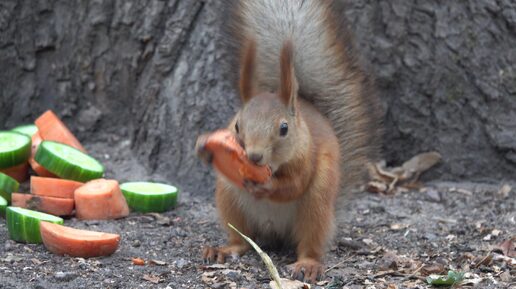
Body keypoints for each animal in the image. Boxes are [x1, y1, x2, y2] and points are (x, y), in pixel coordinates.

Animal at [196, 0, 380, 282]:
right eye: (236, 125)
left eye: (284, 129)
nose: (254, 156)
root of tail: (275, 231)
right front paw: (204, 147)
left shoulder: (308, 157)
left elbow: (295, 184)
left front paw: (267, 186)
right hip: (229, 198)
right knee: (241, 240)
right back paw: (223, 250)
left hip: (317, 204)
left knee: (310, 243)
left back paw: (308, 265)